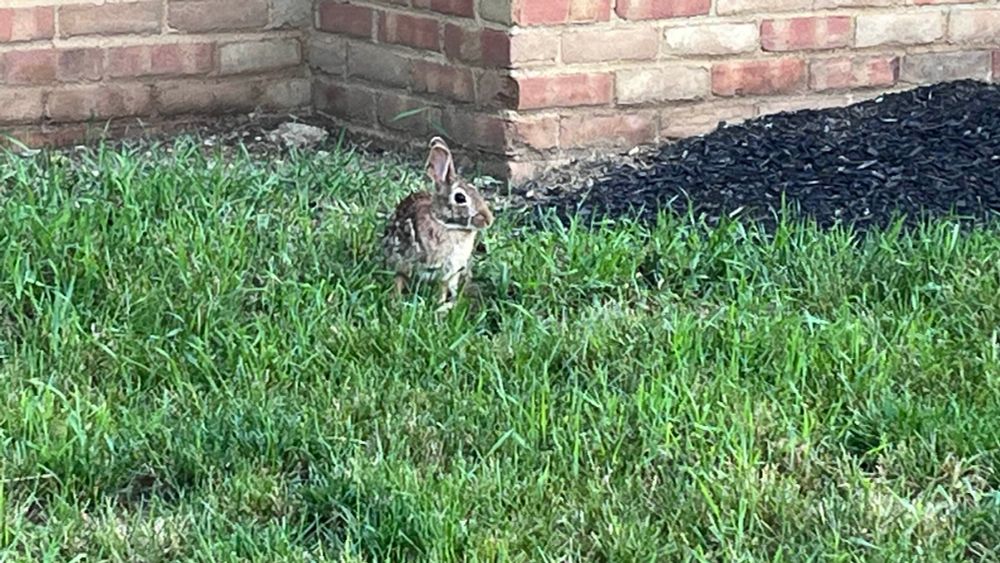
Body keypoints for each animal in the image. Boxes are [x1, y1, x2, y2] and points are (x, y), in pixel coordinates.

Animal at [381, 136, 495, 310]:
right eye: (460, 198)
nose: (488, 219)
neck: (447, 225)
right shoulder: (403, 260)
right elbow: (399, 280)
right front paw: (396, 301)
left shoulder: (449, 273)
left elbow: (441, 289)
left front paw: (438, 304)